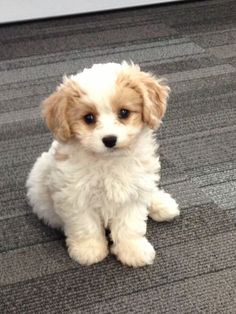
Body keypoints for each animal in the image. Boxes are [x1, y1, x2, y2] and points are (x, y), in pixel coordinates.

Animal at [25, 62, 180, 268]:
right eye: (89, 118)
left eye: (124, 113)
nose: (109, 140)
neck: (108, 161)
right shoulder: (74, 196)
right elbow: (85, 226)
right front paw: (89, 250)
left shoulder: (132, 194)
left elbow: (130, 225)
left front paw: (133, 249)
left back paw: (163, 204)